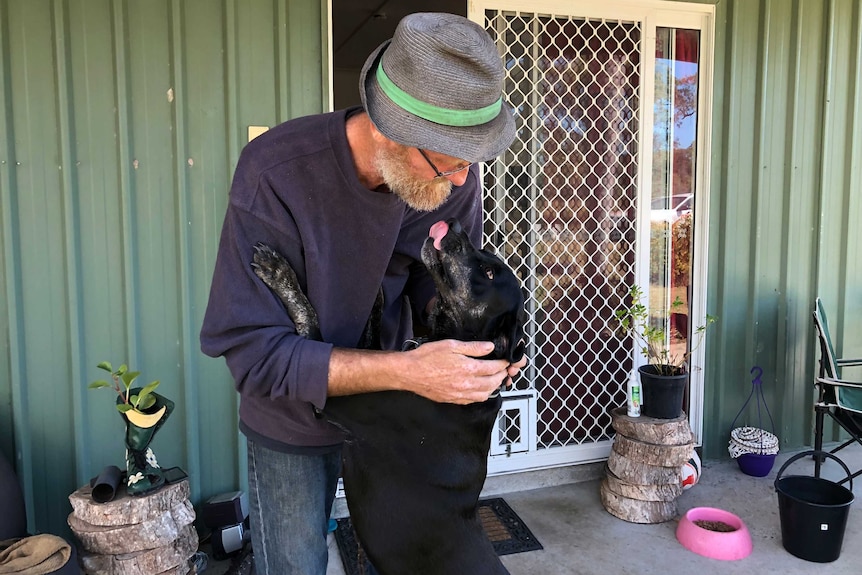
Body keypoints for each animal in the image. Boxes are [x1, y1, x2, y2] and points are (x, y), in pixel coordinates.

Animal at [253, 218, 528, 572]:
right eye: (487, 255)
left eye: (490, 274)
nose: (453, 224)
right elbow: (371, 333)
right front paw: (378, 294)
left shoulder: (336, 400)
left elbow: (312, 328)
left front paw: (278, 272)